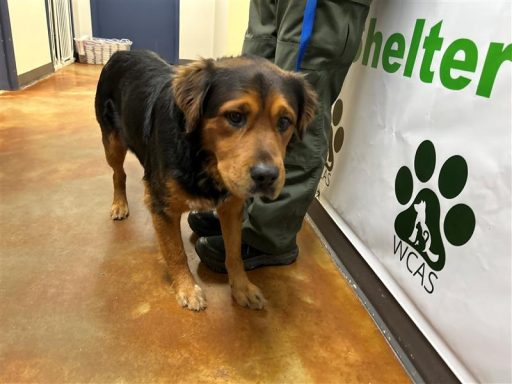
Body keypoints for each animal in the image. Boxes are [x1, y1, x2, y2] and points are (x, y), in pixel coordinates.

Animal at [95, 49, 316, 310]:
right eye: (235, 116)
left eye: (284, 121)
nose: (267, 176)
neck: (203, 158)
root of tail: (122, 52)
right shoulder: (164, 206)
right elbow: (176, 252)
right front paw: (186, 288)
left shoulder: (232, 206)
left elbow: (234, 253)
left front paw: (242, 288)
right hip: (112, 143)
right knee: (118, 173)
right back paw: (120, 204)